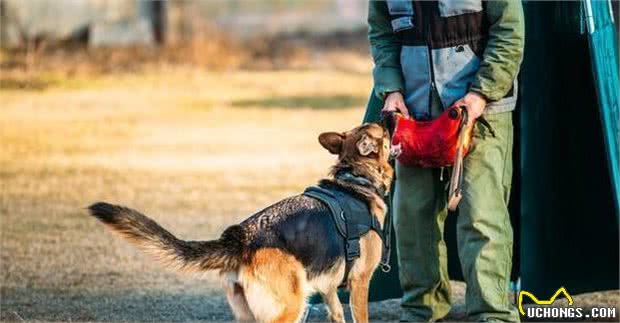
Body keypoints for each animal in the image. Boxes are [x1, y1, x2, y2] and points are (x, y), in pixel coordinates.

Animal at [88, 123, 392, 322]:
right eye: (384, 133)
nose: (391, 114)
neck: (356, 178)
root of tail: (239, 238)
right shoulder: (360, 282)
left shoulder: (328, 287)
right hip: (290, 308)